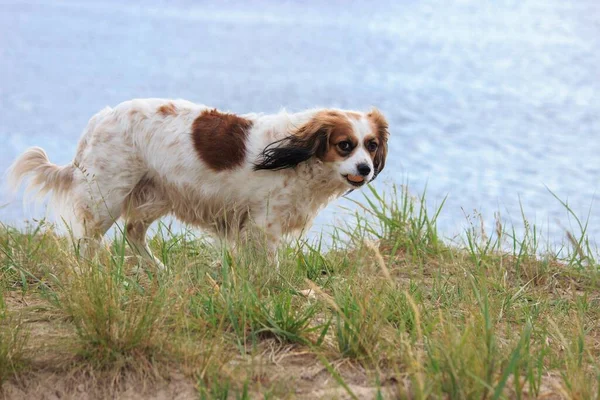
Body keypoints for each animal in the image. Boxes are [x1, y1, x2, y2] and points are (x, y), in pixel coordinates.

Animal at [8, 99, 390, 268]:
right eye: (345, 145)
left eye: (371, 145)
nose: (365, 169)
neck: (295, 154)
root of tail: (101, 117)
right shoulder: (263, 224)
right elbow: (270, 266)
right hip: (107, 198)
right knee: (86, 242)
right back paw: (90, 274)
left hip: (156, 196)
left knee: (132, 233)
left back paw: (159, 271)